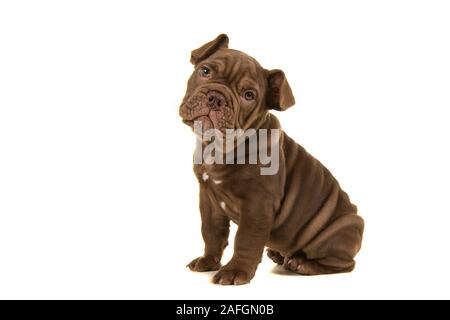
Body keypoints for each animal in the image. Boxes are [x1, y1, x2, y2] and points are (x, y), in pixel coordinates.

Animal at [178, 34, 364, 284]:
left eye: (249, 95)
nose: (216, 98)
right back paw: (279, 254)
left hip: (339, 231)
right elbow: (211, 231)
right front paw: (208, 261)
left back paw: (303, 264)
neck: (220, 148)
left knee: (343, 263)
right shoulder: (208, 199)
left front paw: (235, 271)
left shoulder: (257, 204)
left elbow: (246, 240)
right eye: (205, 71)